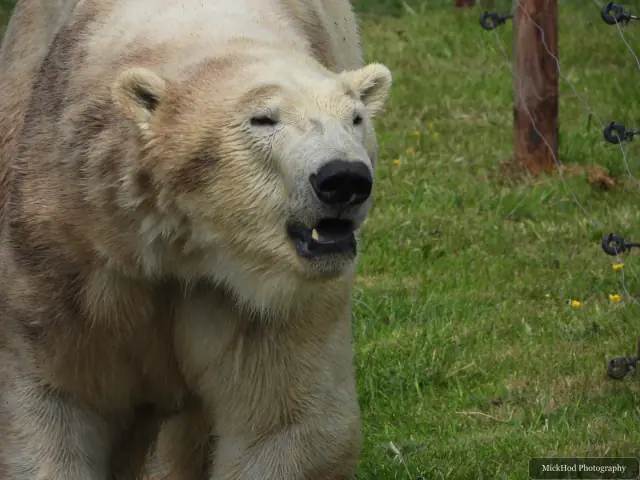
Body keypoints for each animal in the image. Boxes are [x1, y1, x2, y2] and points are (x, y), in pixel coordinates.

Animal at [0, 0, 392, 479]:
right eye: (263, 118)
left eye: (355, 119)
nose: (344, 179)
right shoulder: (72, 251)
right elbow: (60, 397)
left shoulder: (266, 301)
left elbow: (286, 423)